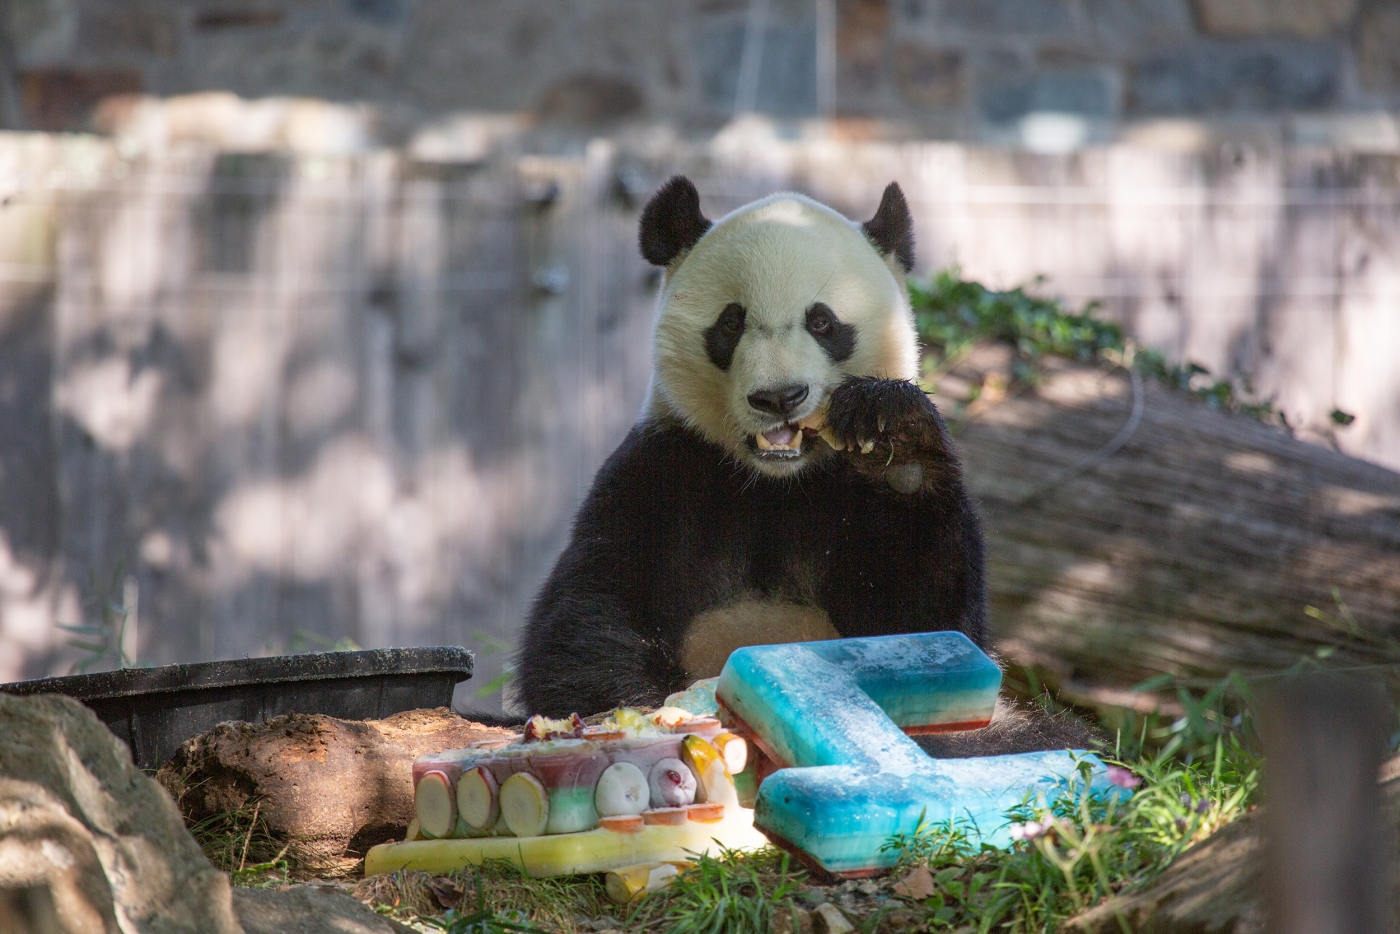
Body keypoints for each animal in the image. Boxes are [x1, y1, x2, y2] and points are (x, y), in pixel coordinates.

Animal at [515, 177, 1092, 761]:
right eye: (732, 321)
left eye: (823, 322)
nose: (779, 397)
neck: (778, 482)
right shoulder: (663, 468)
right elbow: (590, 616)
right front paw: (646, 717)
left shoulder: (852, 503)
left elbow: (932, 625)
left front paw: (894, 437)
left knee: (1034, 735)